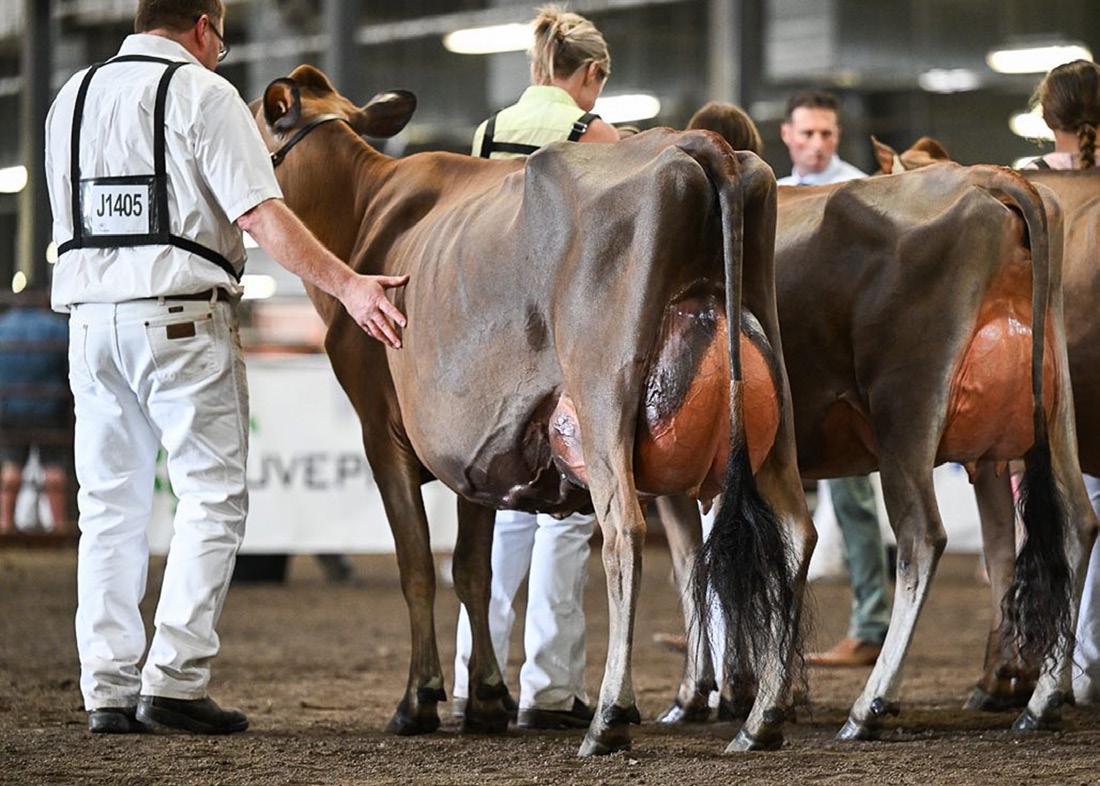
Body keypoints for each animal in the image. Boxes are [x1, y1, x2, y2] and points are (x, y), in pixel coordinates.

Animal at [251, 65, 814, 756]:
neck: (362, 215)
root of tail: (697, 143)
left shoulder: (381, 434)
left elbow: (417, 567)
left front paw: (418, 700)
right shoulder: (473, 448)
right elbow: (473, 570)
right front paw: (487, 697)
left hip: (604, 396)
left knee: (624, 532)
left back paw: (609, 717)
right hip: (773, 399)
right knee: (795, 531)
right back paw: (761, 719)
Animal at [659, 157, 1097, 741]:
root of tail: (986, 178)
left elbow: (692, 566)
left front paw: (704, 693)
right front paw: (760, 690)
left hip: (904, 411)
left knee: (922, 539)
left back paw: (868, 706)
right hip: (1054, 407)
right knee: (1074, 524)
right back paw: (1041, 698)